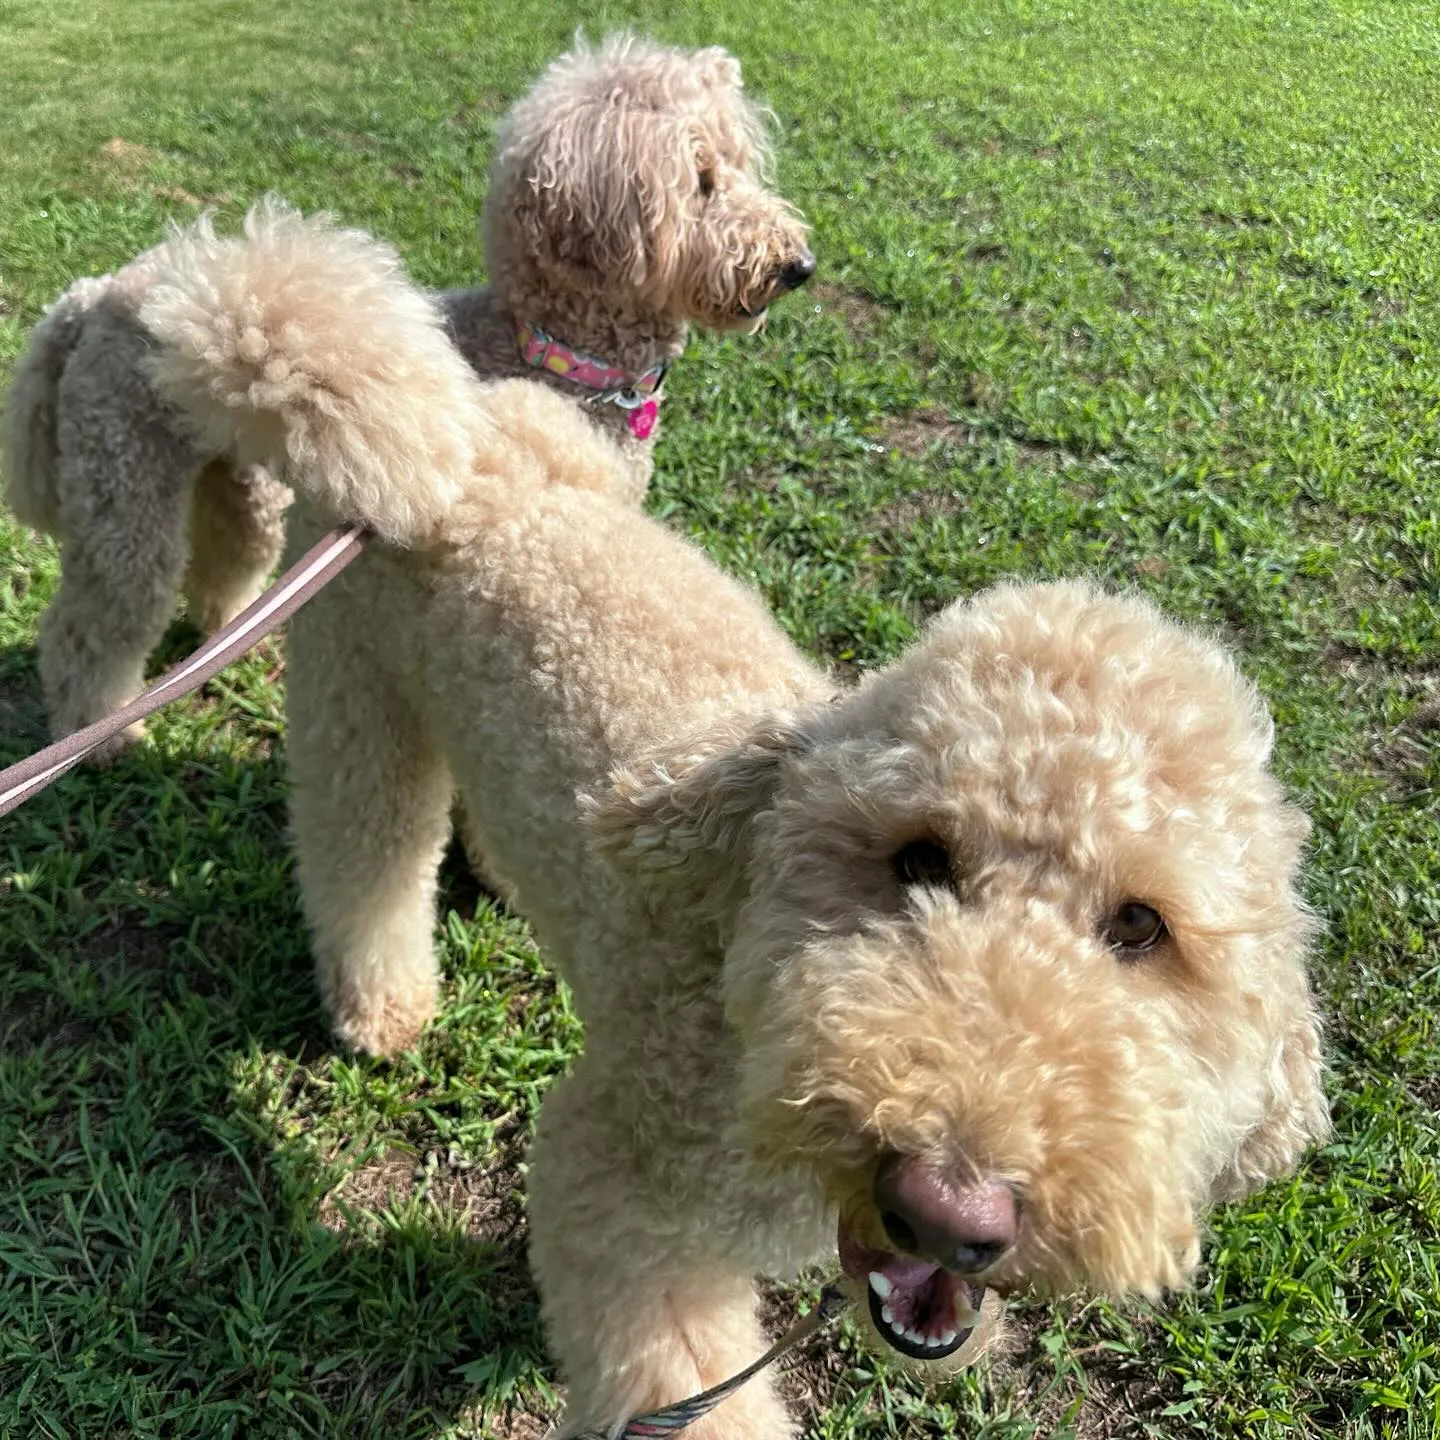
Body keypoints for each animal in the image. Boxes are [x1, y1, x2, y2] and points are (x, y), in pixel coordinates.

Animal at [0, 33, 812, 760]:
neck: (549, 346)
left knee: (231, 552)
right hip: (122, 481)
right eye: (701, 182)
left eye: (740, 168)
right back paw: (100, 735)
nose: (798, 265)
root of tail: (93, 295)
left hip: (235, 478)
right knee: (93, 619)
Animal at [140, 210, 1330, 1440]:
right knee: (362, 851)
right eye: (916, 859)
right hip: (356, 699)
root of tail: (450, 454)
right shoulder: (618, 1174)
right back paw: (381, 1005)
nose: (948, 1210)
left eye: (1142, 927)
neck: (744, 1005)